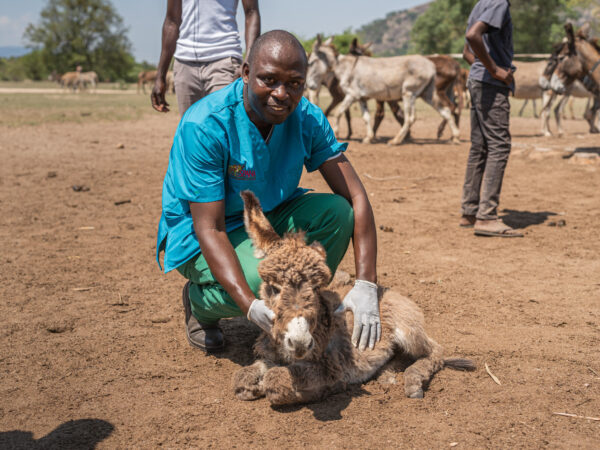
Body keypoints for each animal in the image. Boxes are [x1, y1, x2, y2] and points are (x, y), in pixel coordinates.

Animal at [233, 192, 474, 406]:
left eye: (316, 288)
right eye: (273, 288)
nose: (300, 342)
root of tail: (387, 290)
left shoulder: (328, 366)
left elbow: (275, 380)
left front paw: (325, 389)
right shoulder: (270, 354)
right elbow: (243, 378)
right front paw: (252, 385)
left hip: (408, 329)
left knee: (434, 351)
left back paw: (413, 382)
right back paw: (387, 374)